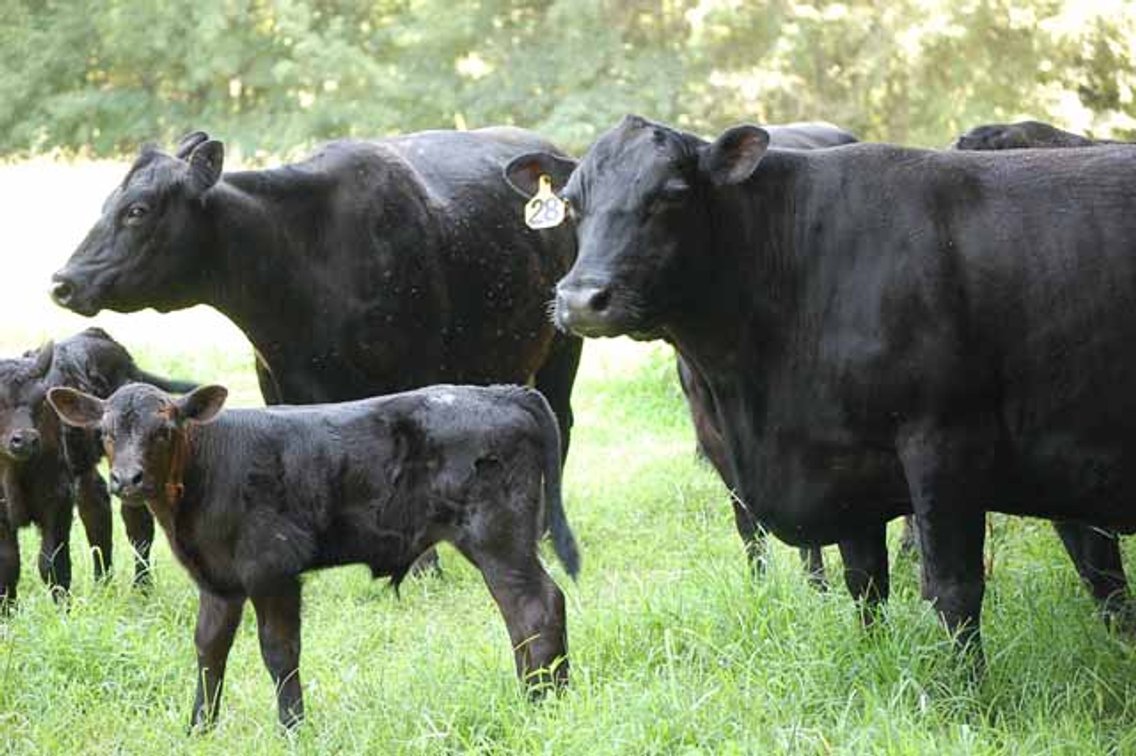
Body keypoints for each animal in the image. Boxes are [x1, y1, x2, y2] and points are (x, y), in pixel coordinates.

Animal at [0, 328, 196, 603]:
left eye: (41, 401)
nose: (26, 439)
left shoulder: (58, 501)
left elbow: (52, 563)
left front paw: (63, 608)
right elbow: (8, 566)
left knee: (137, 526)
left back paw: (142, 589)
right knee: (95, 508)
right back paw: (104, 584)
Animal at [49, 381, 579, 729]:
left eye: (164, 430)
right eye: (105, 432)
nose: (127, 479)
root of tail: (501, 392)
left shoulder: (272, 569)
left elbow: (279, 652)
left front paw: (292, 728)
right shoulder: (219, 582)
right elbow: (208, 649)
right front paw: (199, 728)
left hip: (498, 537)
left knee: (535, 607)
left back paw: (542, 702)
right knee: (527, 615)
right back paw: (541, 693)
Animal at [50, 128, 583, 573]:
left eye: (137, 210)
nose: (63, 282)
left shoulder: (413, 376)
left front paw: (422, 564)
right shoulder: (278, 383)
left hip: (562, 346)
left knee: (559, 420)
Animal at [514, 113, 1136, 662]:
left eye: (670, 194)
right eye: (573, 202)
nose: (581, 299)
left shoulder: (944, 442)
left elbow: (953, 590)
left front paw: (966, 695)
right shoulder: (843, 463)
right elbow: (864, 582)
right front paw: (874, 663)